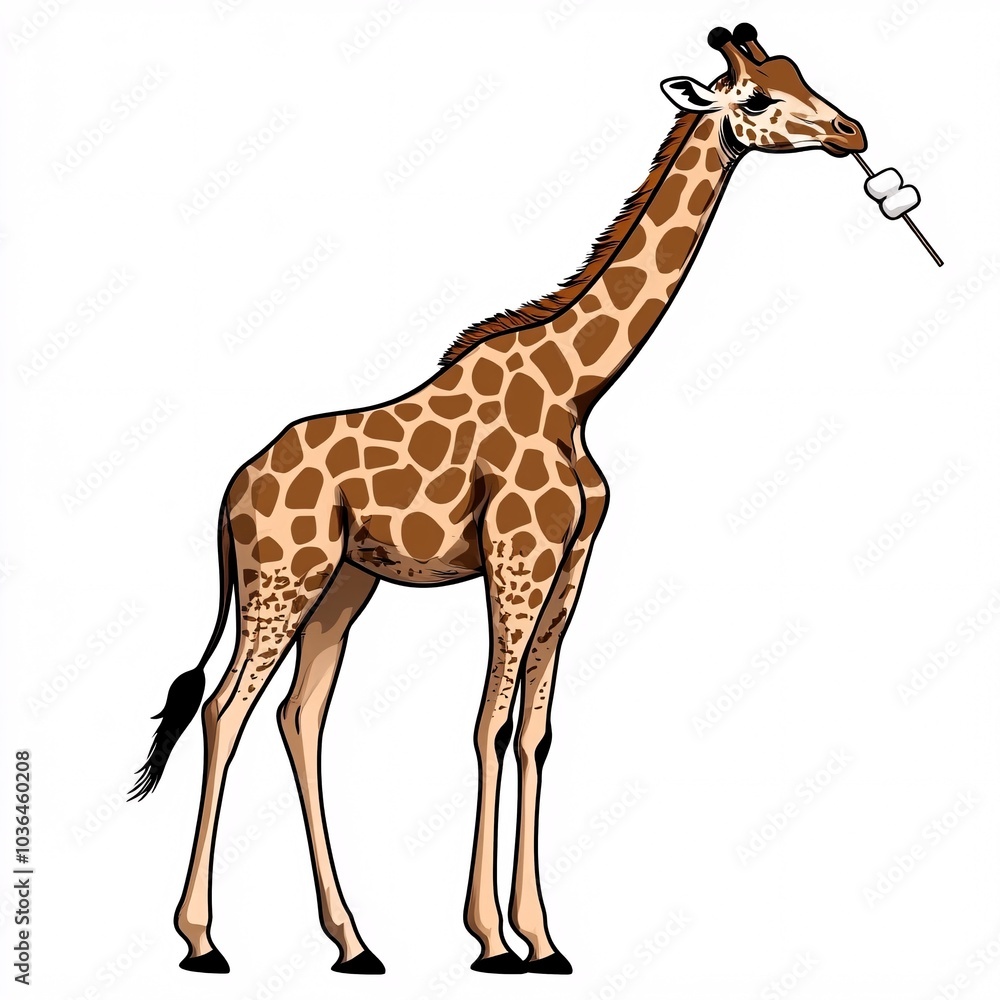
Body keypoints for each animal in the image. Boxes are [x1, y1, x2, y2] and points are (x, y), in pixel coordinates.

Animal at [131, 24, 866, 976]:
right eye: (757, 98)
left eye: (798, 74)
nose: (851, 131)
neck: (575, 388)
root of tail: (231, 489)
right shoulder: (516, 555)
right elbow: (488, 722)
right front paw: (489, 938)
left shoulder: (573, 562)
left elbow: (535, 733)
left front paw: (543, 937)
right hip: (281, 578)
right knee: (225, 712)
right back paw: (201, 940)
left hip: (343, 584)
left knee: (298, 716)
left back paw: (354, 942)